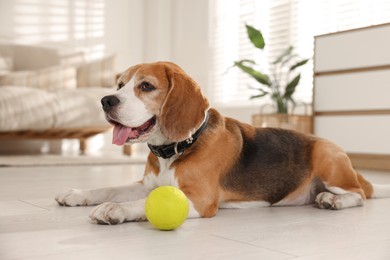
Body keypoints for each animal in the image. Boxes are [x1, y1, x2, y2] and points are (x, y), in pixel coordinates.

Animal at [56, 62, 390, 224]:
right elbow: (109, 188)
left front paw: (114, 210)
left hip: (327, 156)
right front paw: (78, 194)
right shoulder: (147, 184)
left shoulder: (199, 200)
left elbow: (138, 203)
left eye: (146, 86)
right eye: (120, 85)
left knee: (360, 194)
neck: (174, 150)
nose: (106, 100)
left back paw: (334, 200)